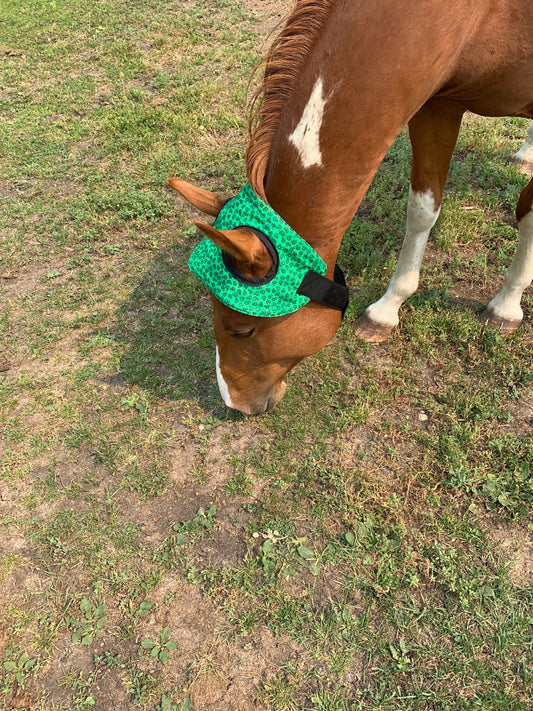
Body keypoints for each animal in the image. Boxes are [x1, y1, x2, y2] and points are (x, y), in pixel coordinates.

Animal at [168, 0, 533, 415]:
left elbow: (527, 213)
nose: (234, 403)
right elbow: (422, 210)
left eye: (242, 329)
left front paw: (507, 304)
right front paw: (388, 310)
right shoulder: (439, 104)